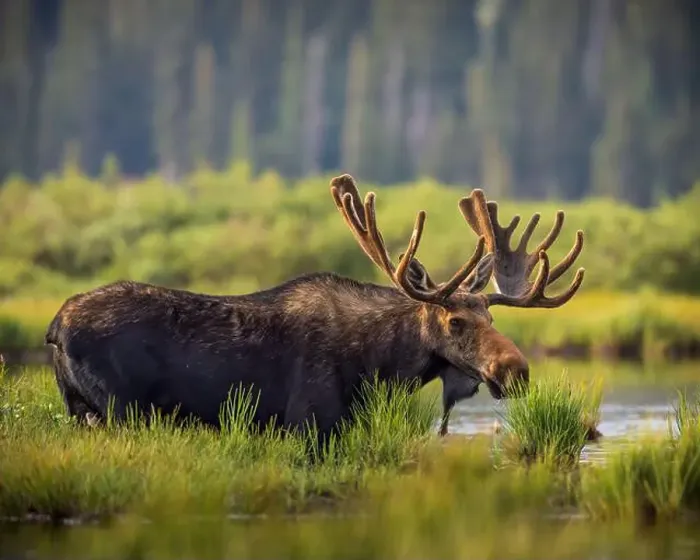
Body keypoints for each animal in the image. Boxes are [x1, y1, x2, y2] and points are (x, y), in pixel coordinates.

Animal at [44, 174, 584, 444]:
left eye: (492, 317)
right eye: (455, 321)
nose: (516, 370)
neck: (380, 367)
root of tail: (54, 326)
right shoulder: (310, 424)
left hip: (81, 412)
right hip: (120, 409)